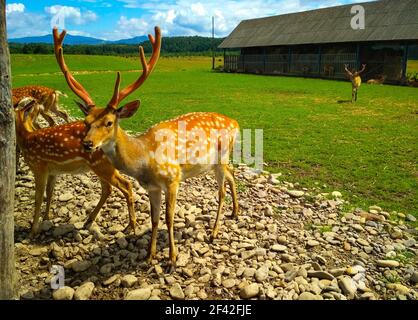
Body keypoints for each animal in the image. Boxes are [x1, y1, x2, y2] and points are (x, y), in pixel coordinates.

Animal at [14, 97, 136, 235]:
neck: (26, 139)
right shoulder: (53, 171)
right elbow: (49, 193)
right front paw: (46, 218)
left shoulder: (39, 166)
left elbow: (38, 198)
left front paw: (33, 230)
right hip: (101, 166)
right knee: (108, 189)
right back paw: (89, 220)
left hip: (100, 164)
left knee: (126, 185)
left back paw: (130, 226)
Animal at [54, 26, 240, 272]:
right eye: (86, 121)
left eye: (109, 122)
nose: (87, 143)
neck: (144, 159)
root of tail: (236, 122)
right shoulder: (151, 187)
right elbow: (154, 219)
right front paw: (149, 257)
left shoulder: (173, 178)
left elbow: (169, 218)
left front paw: (172, 259)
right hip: (218, 161)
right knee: (232, 175)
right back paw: (235, 212)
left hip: (221, 157)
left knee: (221, 190)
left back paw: (215, 231)